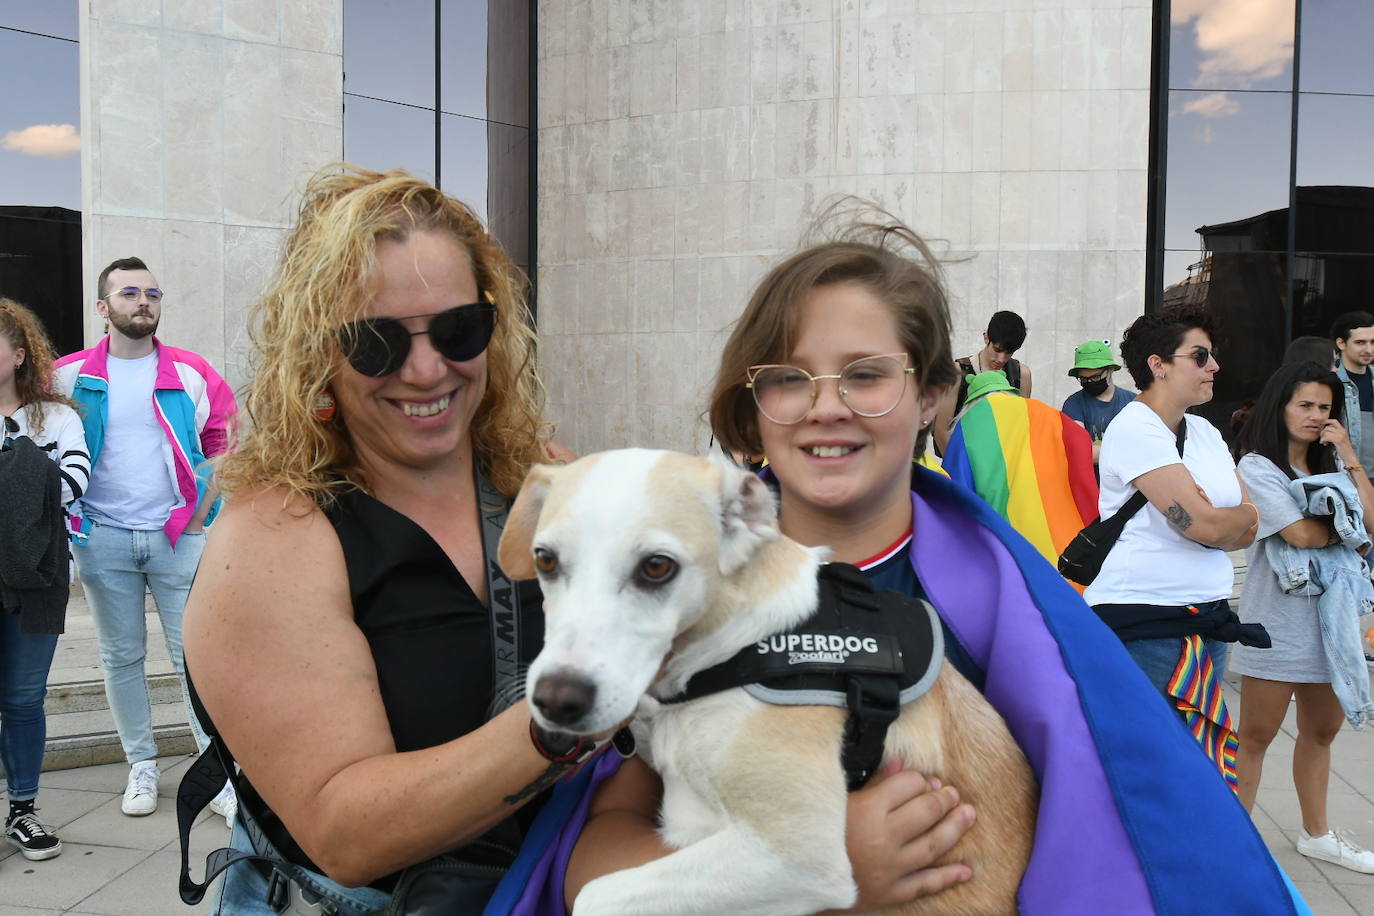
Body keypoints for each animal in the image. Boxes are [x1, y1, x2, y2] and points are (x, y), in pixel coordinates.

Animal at [500, 453, 1033, 916]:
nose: (557, 703)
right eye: (544, 560)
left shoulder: (797, 858)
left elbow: (597, 894)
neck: (735, 651)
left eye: (656, 566)